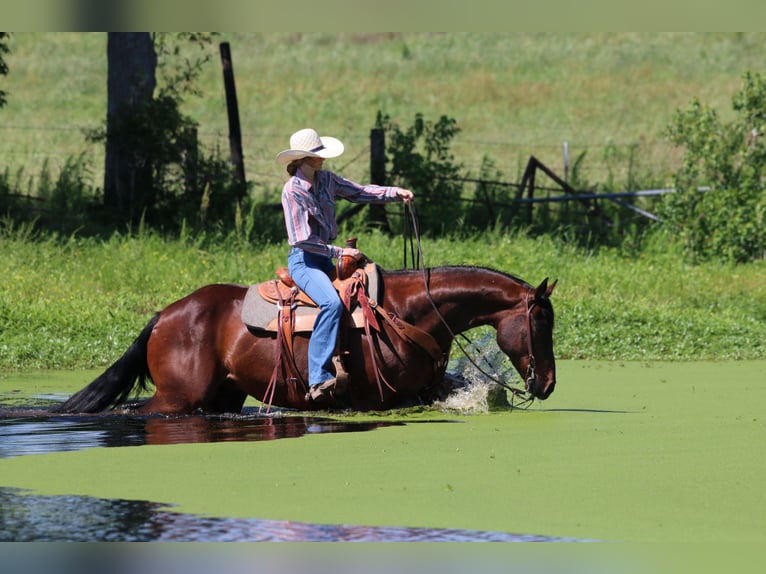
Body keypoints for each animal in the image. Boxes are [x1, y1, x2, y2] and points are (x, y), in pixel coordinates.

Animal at [54, 268, 560, 416]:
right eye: (541, 324)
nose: (549, 384)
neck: (409, 312)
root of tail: (166, 315)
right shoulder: (380, 400)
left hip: (224, 394)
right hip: (176, 397)